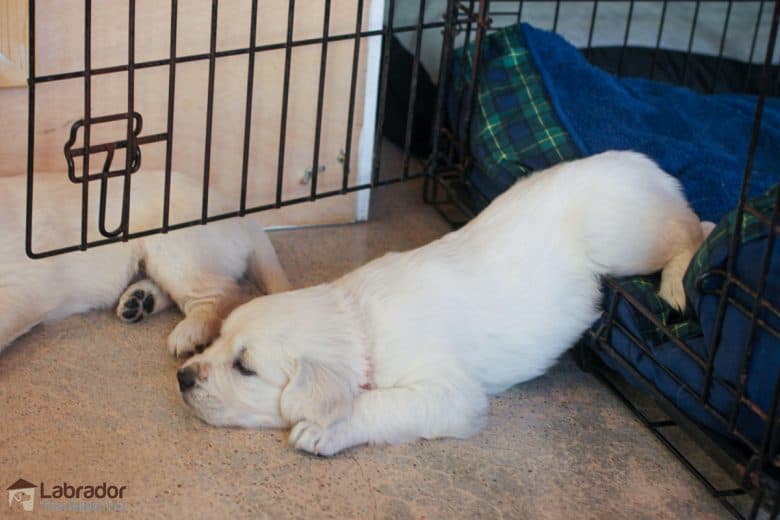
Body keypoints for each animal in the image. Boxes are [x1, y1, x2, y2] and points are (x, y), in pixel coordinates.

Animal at [0, 171, 290, 358]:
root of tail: (239, 213)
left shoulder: (25, 286)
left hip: (174, 245)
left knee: (223, 292)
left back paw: (190, 333)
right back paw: (140, 301)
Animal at [177, 150, 708, 456]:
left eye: (245, 368)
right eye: (220, 342)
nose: (182, 378)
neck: (361, 323)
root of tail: (646, 162)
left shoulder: (452, 394)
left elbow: (383, 403)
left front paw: (324, 429)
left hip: (624, 240)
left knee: (690, 230)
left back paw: (678, 286)